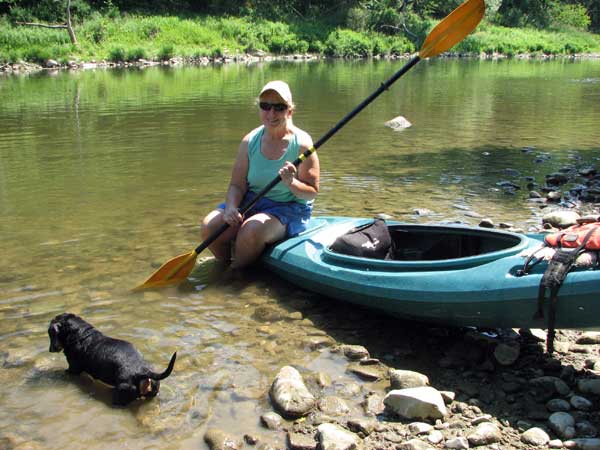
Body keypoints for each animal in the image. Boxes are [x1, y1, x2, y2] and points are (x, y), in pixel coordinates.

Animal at [48, 313, 176, 406]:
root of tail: (143, 371)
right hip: (154, 390)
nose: (50, 350)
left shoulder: (72, 369)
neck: (80, 334)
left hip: (121, 394)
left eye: (50, 333)